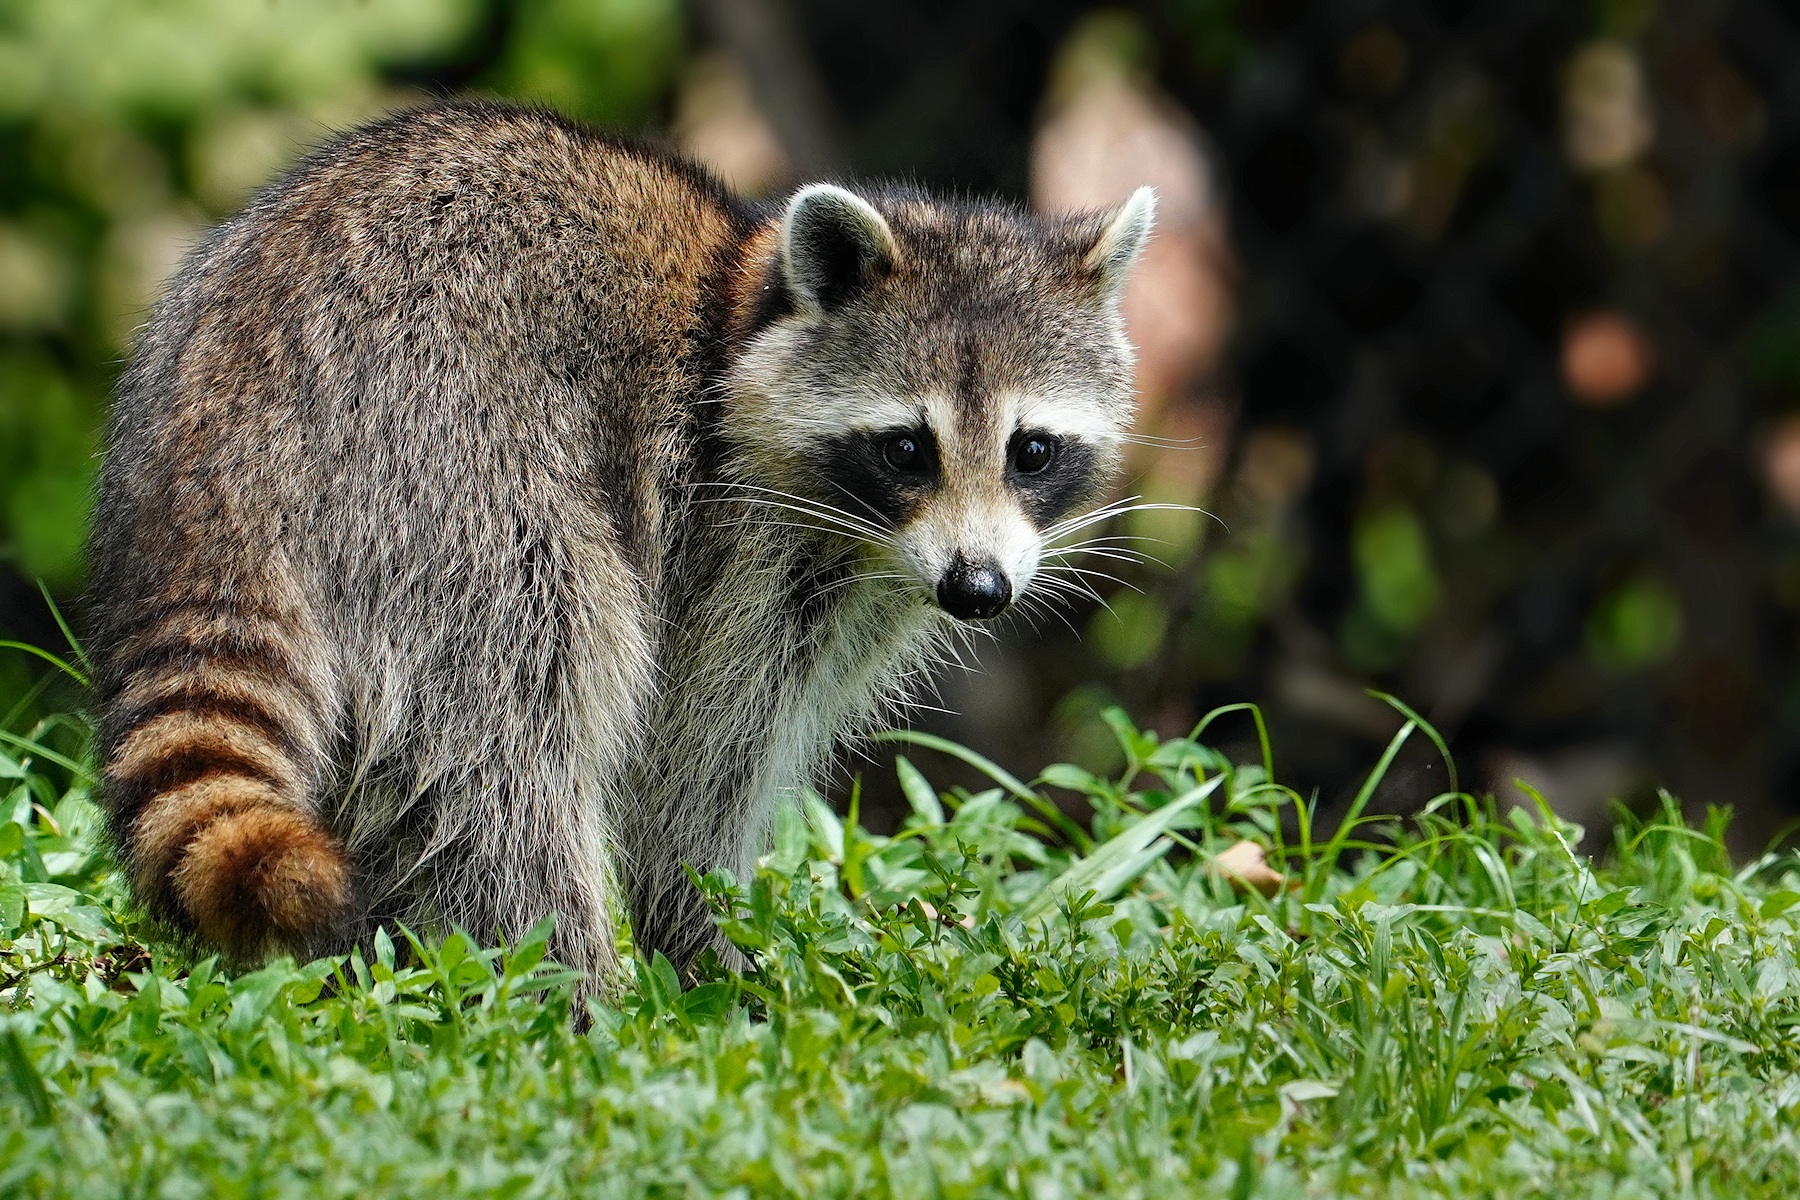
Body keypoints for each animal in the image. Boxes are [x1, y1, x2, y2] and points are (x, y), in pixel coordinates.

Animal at [87, 100, 1152, 985]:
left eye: (1031, 450)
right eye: (906, 448)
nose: (978, 590)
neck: (743, 309)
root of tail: (225, 413)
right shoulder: (731, 545)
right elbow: (691, 773)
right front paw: (711, 952)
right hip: (450, 458)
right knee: (514, 735)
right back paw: (566, 985)